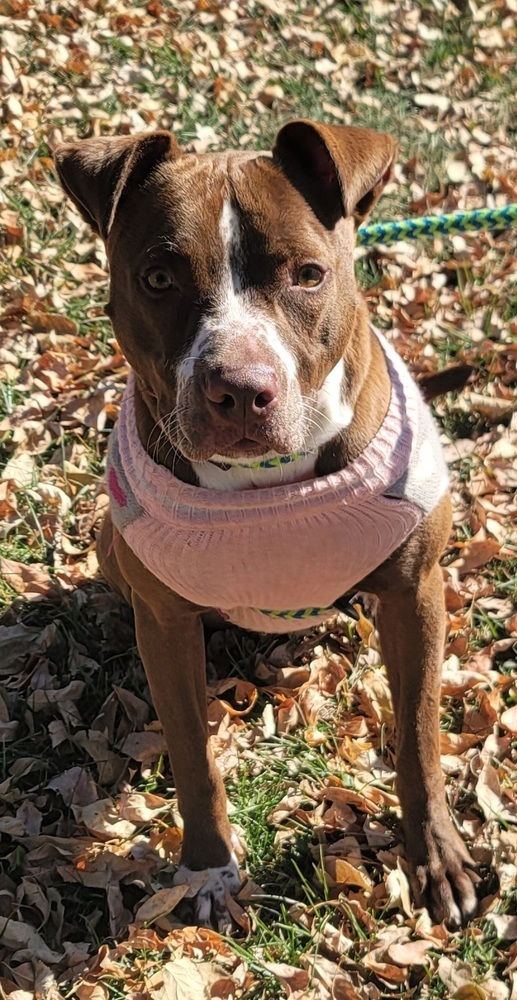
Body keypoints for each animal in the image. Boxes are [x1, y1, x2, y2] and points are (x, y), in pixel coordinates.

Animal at [54, 123, 478, 928]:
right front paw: (208, 870)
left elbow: (417, 736)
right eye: (158, 278)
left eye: (309, 274)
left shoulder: (416, 592)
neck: (266, 481)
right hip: (112, 550)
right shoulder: (165, 623)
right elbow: (192, 754)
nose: (240, 389)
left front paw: (434, 854)